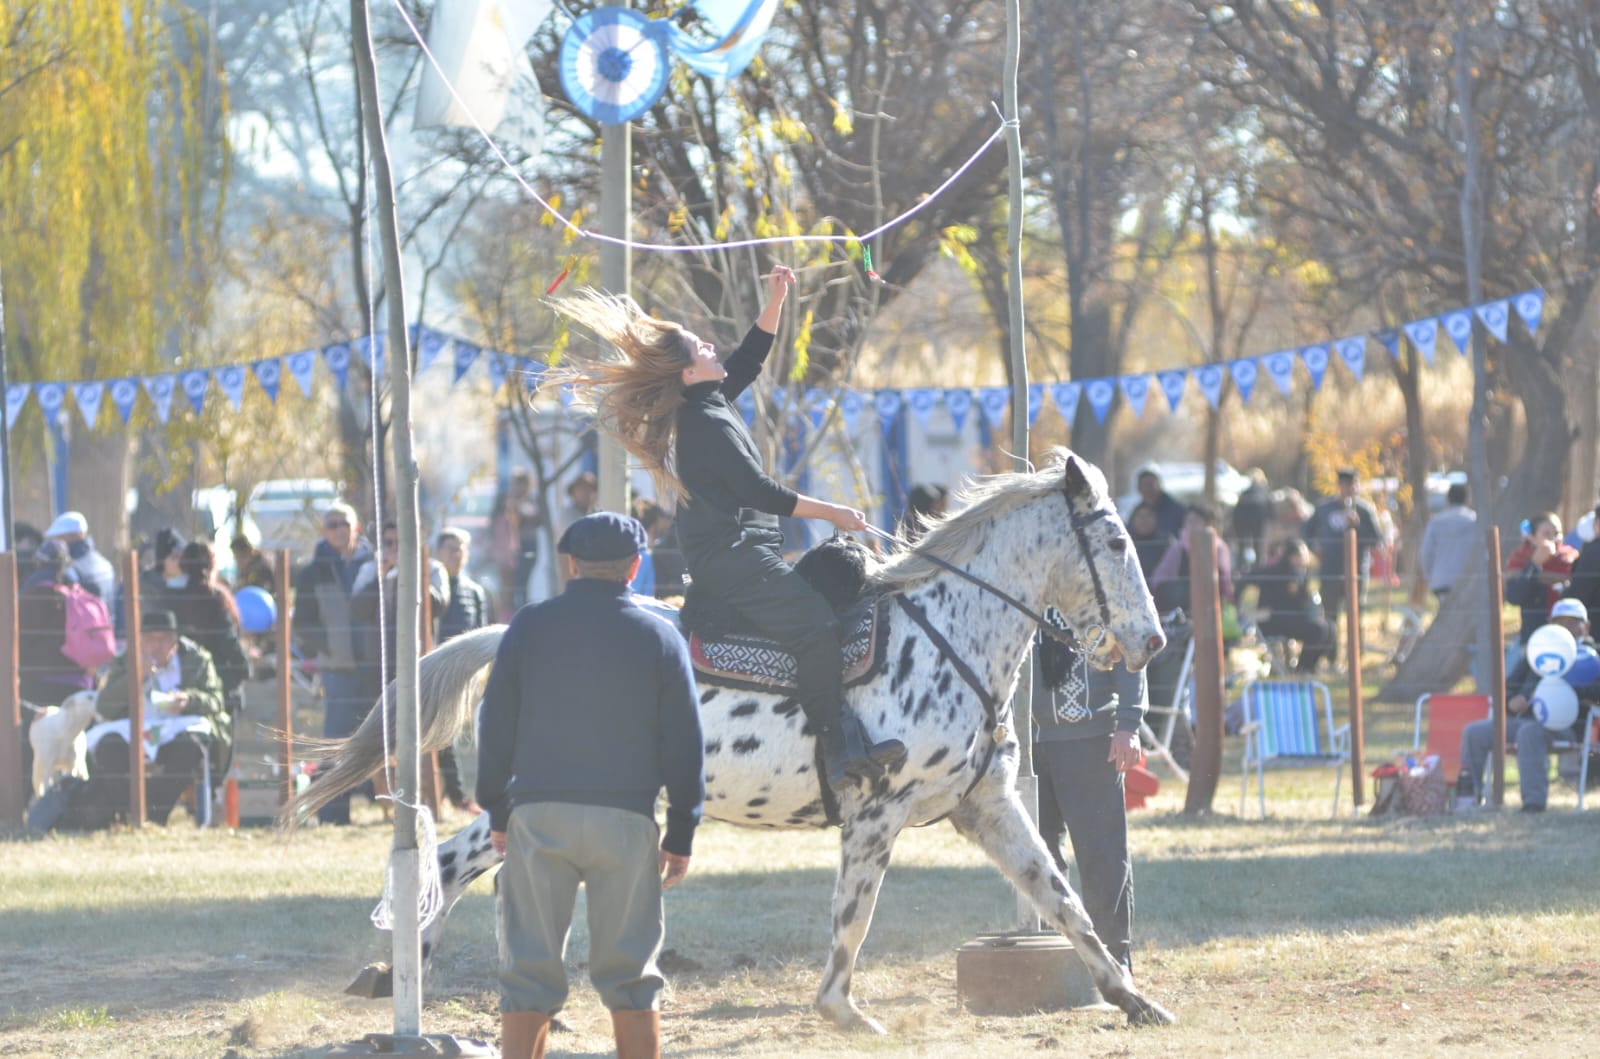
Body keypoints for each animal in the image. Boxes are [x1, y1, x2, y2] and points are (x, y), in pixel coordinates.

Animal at [281, 451, 1171, 1030]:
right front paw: (841, 1011)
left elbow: (1065, 901)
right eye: (1116, 541)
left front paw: (1133, 999)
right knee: (450, 860)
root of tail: (509, 633)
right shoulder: (877, 813)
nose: (1153, 641)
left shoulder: (988, 807)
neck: (948, 630)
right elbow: (854, 914)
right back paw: (401, 973)